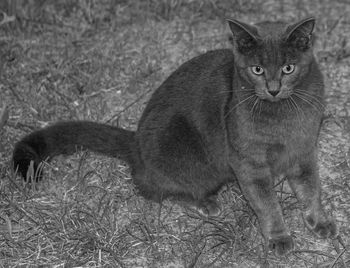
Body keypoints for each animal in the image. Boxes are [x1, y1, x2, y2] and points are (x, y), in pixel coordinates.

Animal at [12, 16, 338, 255]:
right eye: (257, 69)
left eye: (288, 67)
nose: (272, 88)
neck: (285, 113)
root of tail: (135, 142)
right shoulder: (248, 163)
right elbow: (267, 203)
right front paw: (279, 238)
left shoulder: (304, 151)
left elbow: (311, 188)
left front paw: (320, 221)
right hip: (184, 155)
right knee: (152, 187)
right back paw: (206, 202)